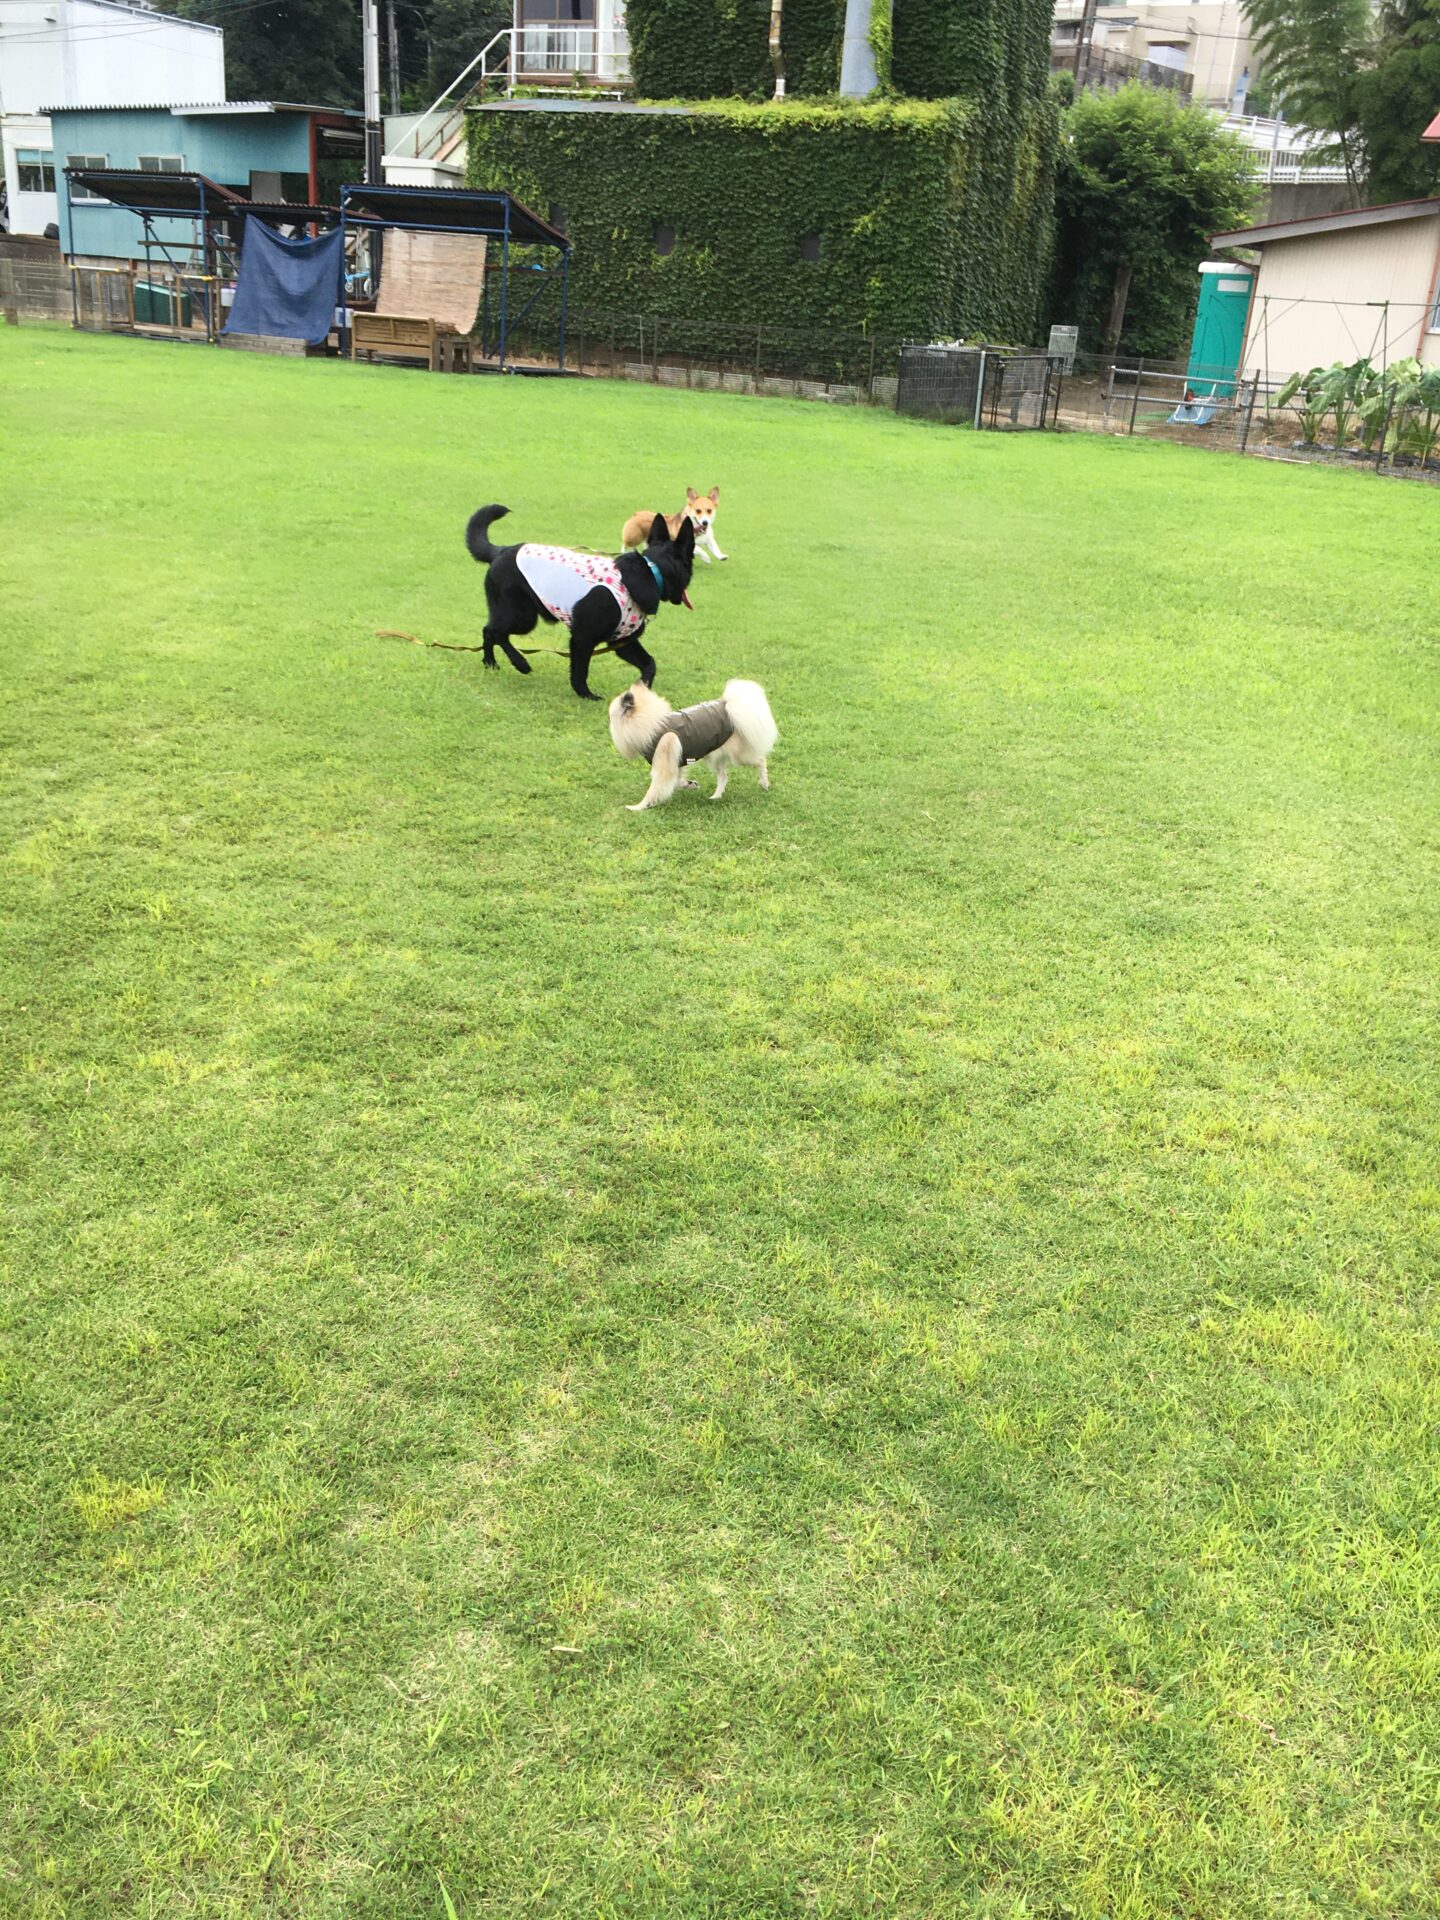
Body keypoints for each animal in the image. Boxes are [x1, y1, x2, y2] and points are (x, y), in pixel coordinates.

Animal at [465, 504, 695, 701]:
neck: (651, 571)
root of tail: (501, 551)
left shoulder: (623, 641)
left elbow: (649, 664)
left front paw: (641, 692)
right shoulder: (582, 638)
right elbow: (580, 672)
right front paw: (586, 695)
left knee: (490, 632)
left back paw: (492, 663)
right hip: (523, 617)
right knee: (493, 632)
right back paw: (517, 663)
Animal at [608, 678, 777, 810]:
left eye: (611, 716)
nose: (607, 723)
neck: (653, 725)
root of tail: (731, 706)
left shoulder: (664, 764)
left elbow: (654, 789)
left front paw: (638, 807)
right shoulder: (677, 761)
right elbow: (678, 782)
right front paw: (690, 784)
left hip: (738, 756)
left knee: (761, 760)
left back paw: (764, 783)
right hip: (716, 755)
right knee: (724, 776)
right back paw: (716, 796)